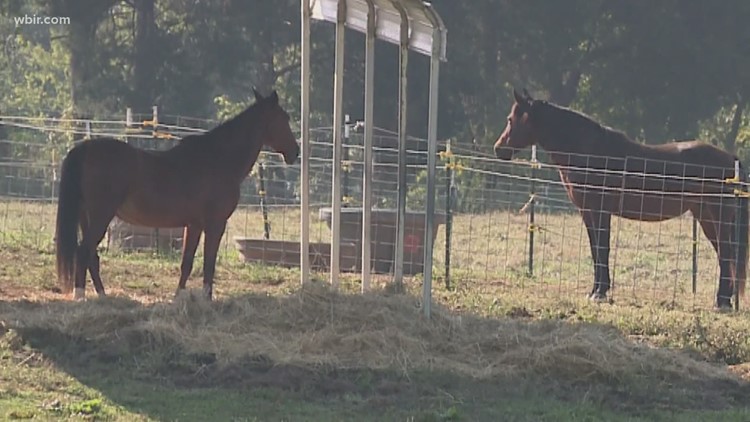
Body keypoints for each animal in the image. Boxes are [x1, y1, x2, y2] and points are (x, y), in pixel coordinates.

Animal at [55, 89, 299, 301]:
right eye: (284, 118)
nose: (295, 152)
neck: (217, 159)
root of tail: (86, 148)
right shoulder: (215, 224)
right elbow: (208, 264)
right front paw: (206, 298)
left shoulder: (194, 225)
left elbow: (187, 262)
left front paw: (179, 297)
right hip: (100, 216)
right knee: (83, 251)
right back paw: (80, 296)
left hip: (87, 217)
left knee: (91, 256)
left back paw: (102, 295)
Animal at [493, 89, 748, 308]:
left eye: (510, 119)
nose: (498, 149)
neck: (590, 152)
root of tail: (731, 158)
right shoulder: (588, 213)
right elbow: (595, 249)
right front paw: (595, 291)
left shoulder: (601, 212)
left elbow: (602, 248)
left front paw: (600, 293)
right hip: (706, 218)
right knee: (725, 255)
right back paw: (724, 300)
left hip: (717, 216)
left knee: (727, 254)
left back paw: (722, 303)